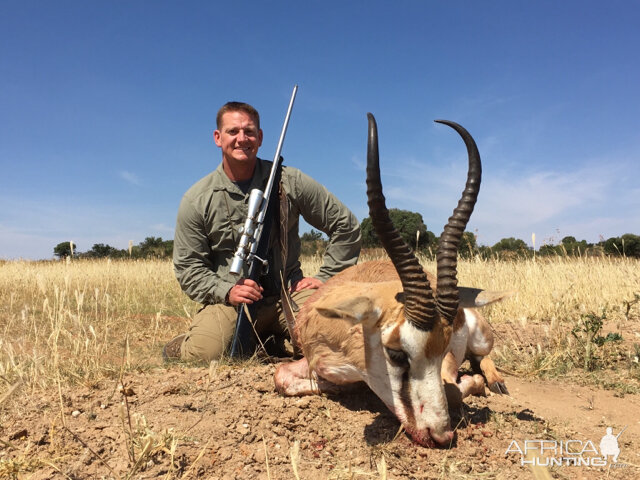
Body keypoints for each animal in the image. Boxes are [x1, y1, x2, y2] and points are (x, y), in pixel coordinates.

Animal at [274, 112, 510, 446]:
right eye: (397, 353)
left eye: (445, 345)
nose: (440, 434)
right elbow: (280, 376)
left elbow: (453, 390)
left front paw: (474, 384)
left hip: (481, 338)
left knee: (482, 358)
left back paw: (496, 381)